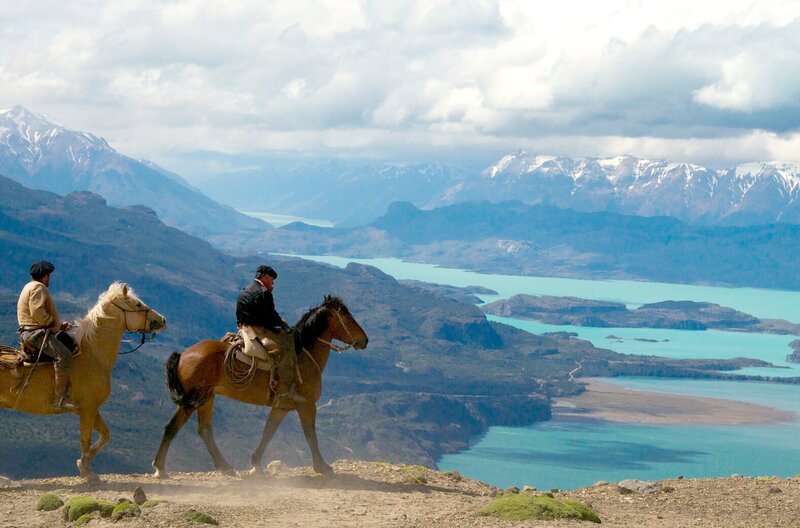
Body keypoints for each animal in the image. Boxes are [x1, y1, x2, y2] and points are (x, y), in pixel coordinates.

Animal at [0, 282, 166, 481]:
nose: (163, 320)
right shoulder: (87, 409)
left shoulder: (90, 409)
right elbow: (86, 440)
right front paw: (87, 471)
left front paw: (84, 464)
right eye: (137, 304)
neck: (93, 354)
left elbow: (105, 435)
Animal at [151, 295, 368, 478]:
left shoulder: (282, 407)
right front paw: (322, 467)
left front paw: (256, 464)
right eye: (347, 317)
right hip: (193, 400)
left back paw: (225, 467)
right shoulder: (307, 405)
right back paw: (160, 468)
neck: (303, 355)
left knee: (203, 431)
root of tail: (183, 355)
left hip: (206, 398)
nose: (364, 340)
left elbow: (268, 433)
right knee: (173, 427)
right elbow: (310, 435)